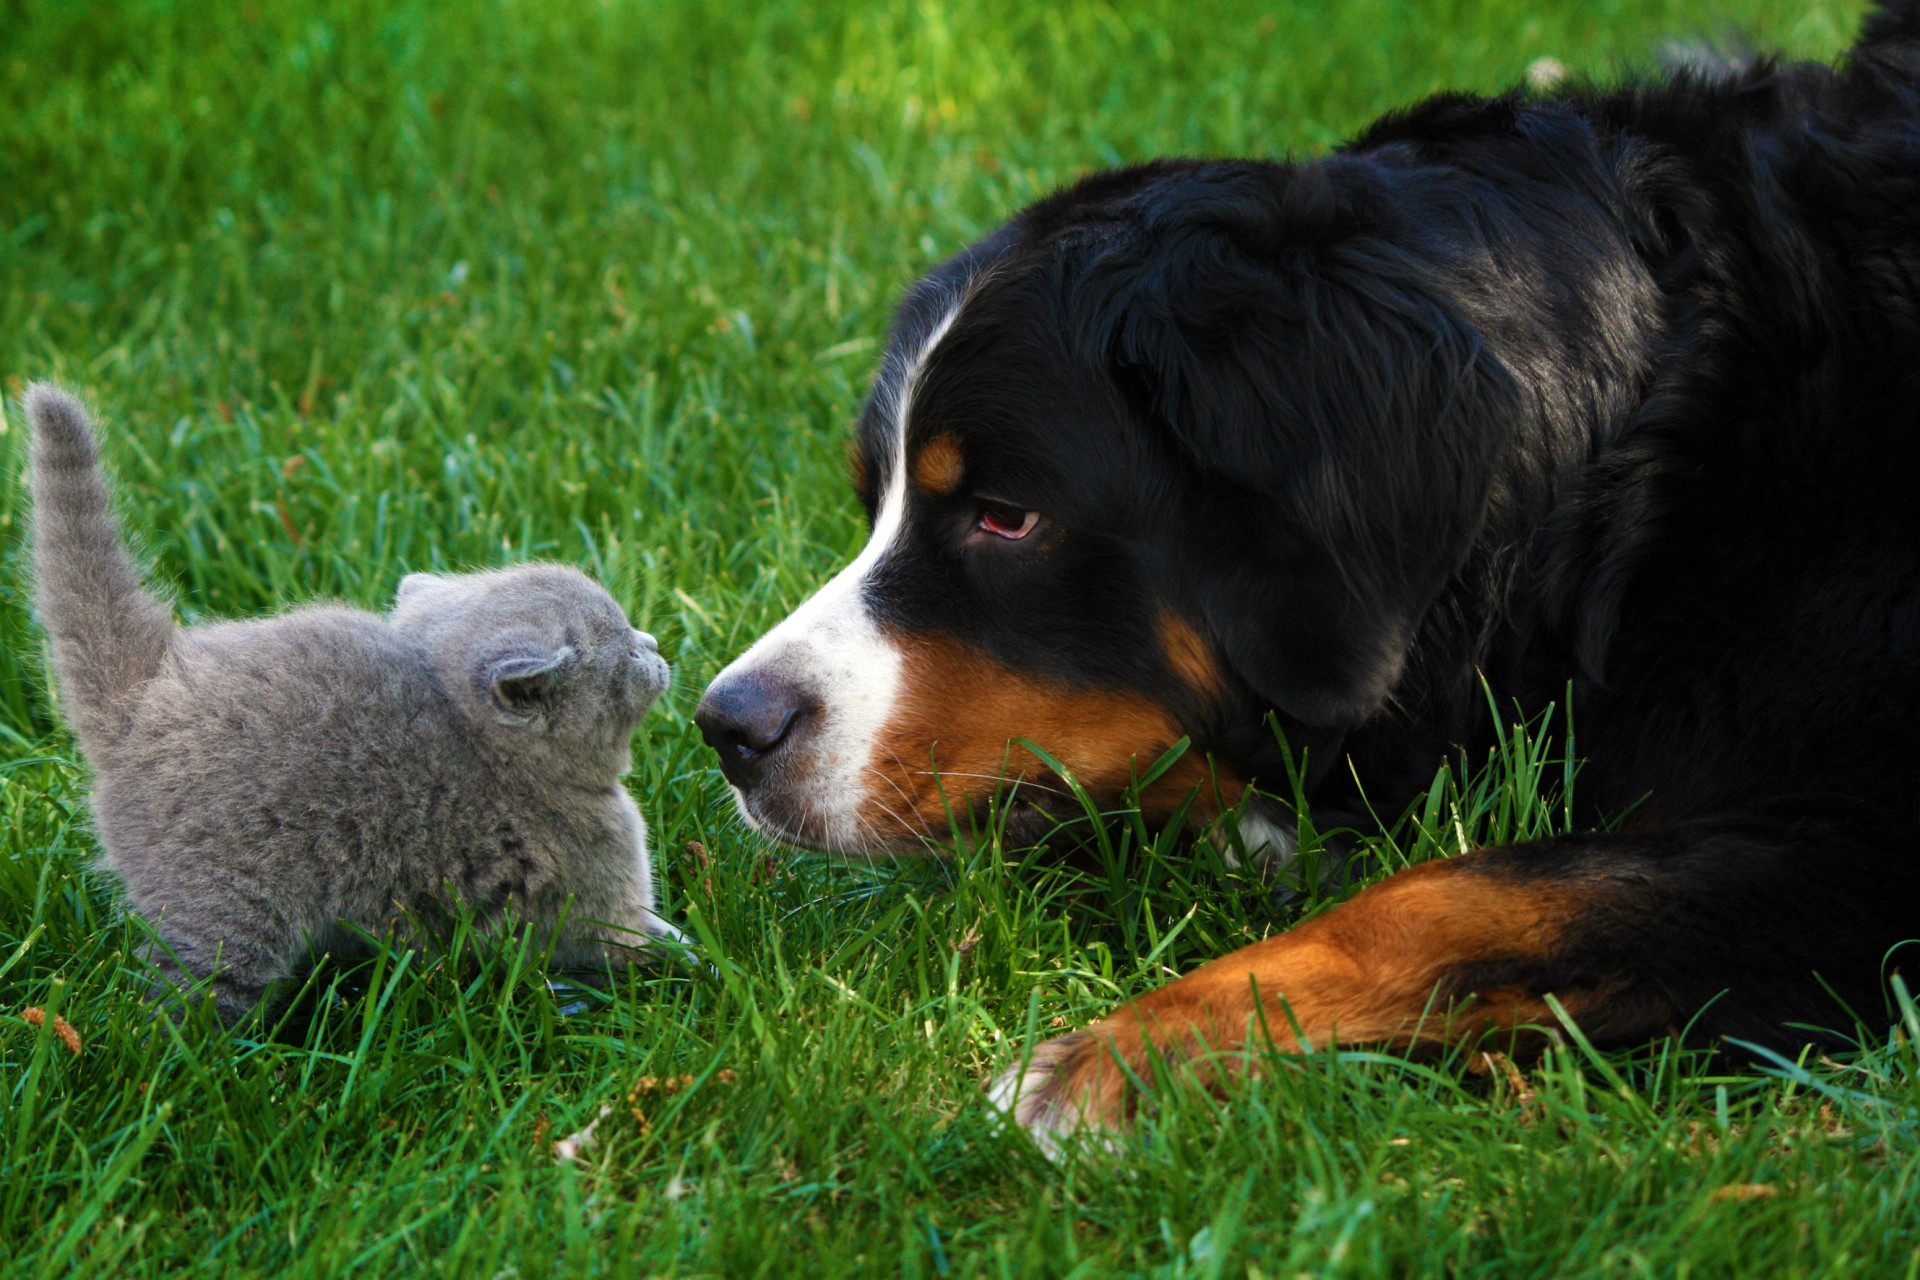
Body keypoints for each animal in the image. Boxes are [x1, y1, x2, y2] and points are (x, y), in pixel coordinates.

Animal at [26, 385, 683, 1028]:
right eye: (624, 648)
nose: (654, 644)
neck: (497, 756)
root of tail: (149, 691)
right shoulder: (594, 892)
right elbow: (640, 942)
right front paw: (691, 962)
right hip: (224, 904)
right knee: (184, 999)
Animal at [698, 0, 1920, 1143]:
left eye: (1006, 517)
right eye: (877, 501)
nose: (729, 726)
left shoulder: (1865, 841)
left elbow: (1458, 892)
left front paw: (1119, 1057)